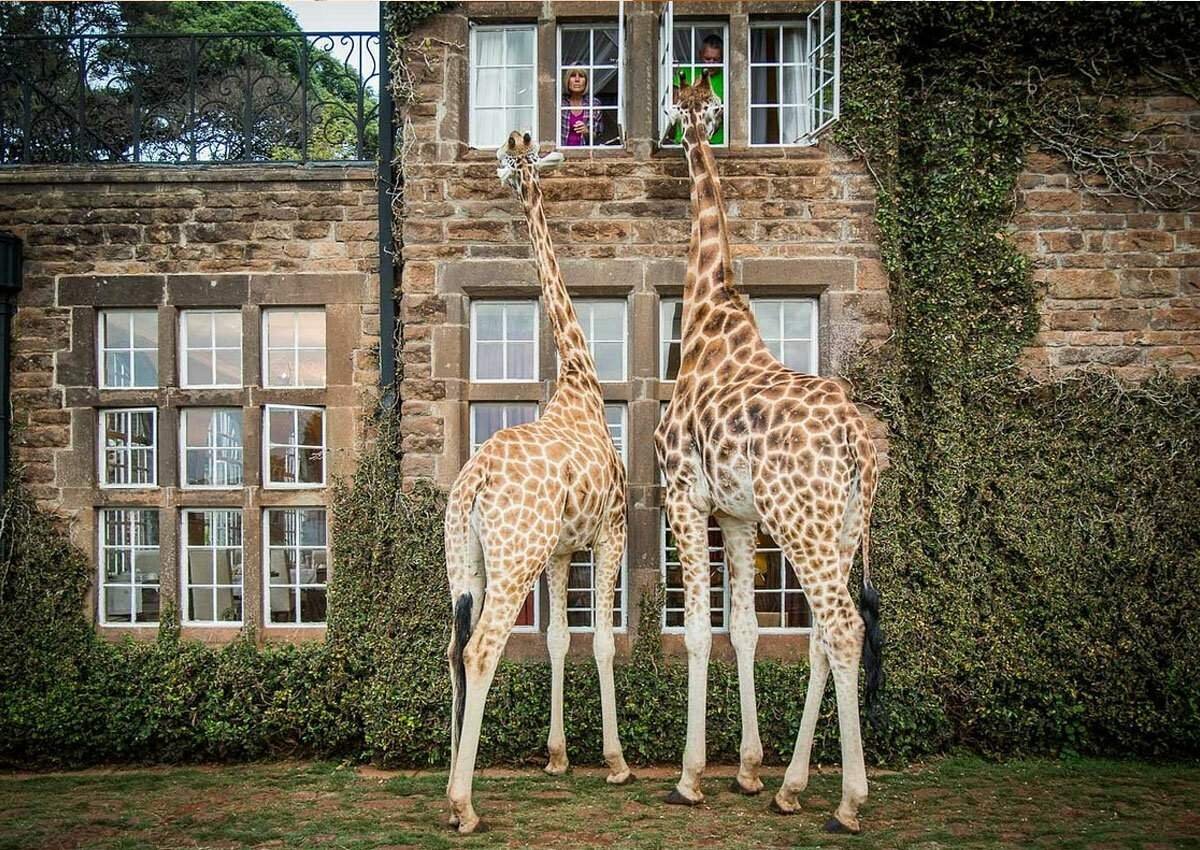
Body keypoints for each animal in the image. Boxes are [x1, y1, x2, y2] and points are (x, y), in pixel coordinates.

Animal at [443, 131, 634, 835]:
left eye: (514, 161)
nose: (512, 167)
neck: (581, 381)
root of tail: (474, 481)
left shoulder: (559, 550)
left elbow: (556, 640)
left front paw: (557, 756)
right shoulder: (610, 531)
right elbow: (601, 641)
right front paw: (615, 761)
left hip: (465, 559)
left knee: (453, 651)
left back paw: (450, 787)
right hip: (514, 556)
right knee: (480, 651)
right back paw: (464, 805)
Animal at [654, 74, 883, 834]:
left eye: (680, 102)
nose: (675, 130)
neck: (708, 318)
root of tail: (857, 445)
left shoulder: (684, 495)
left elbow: (699, 630)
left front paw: (691, 777)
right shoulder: (737, 516)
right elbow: (745, 629)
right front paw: (749, 769)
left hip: (803, 523)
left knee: (842, 627)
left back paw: (848, 801)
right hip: (839, 526)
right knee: (820, 635)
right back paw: (791, 785)